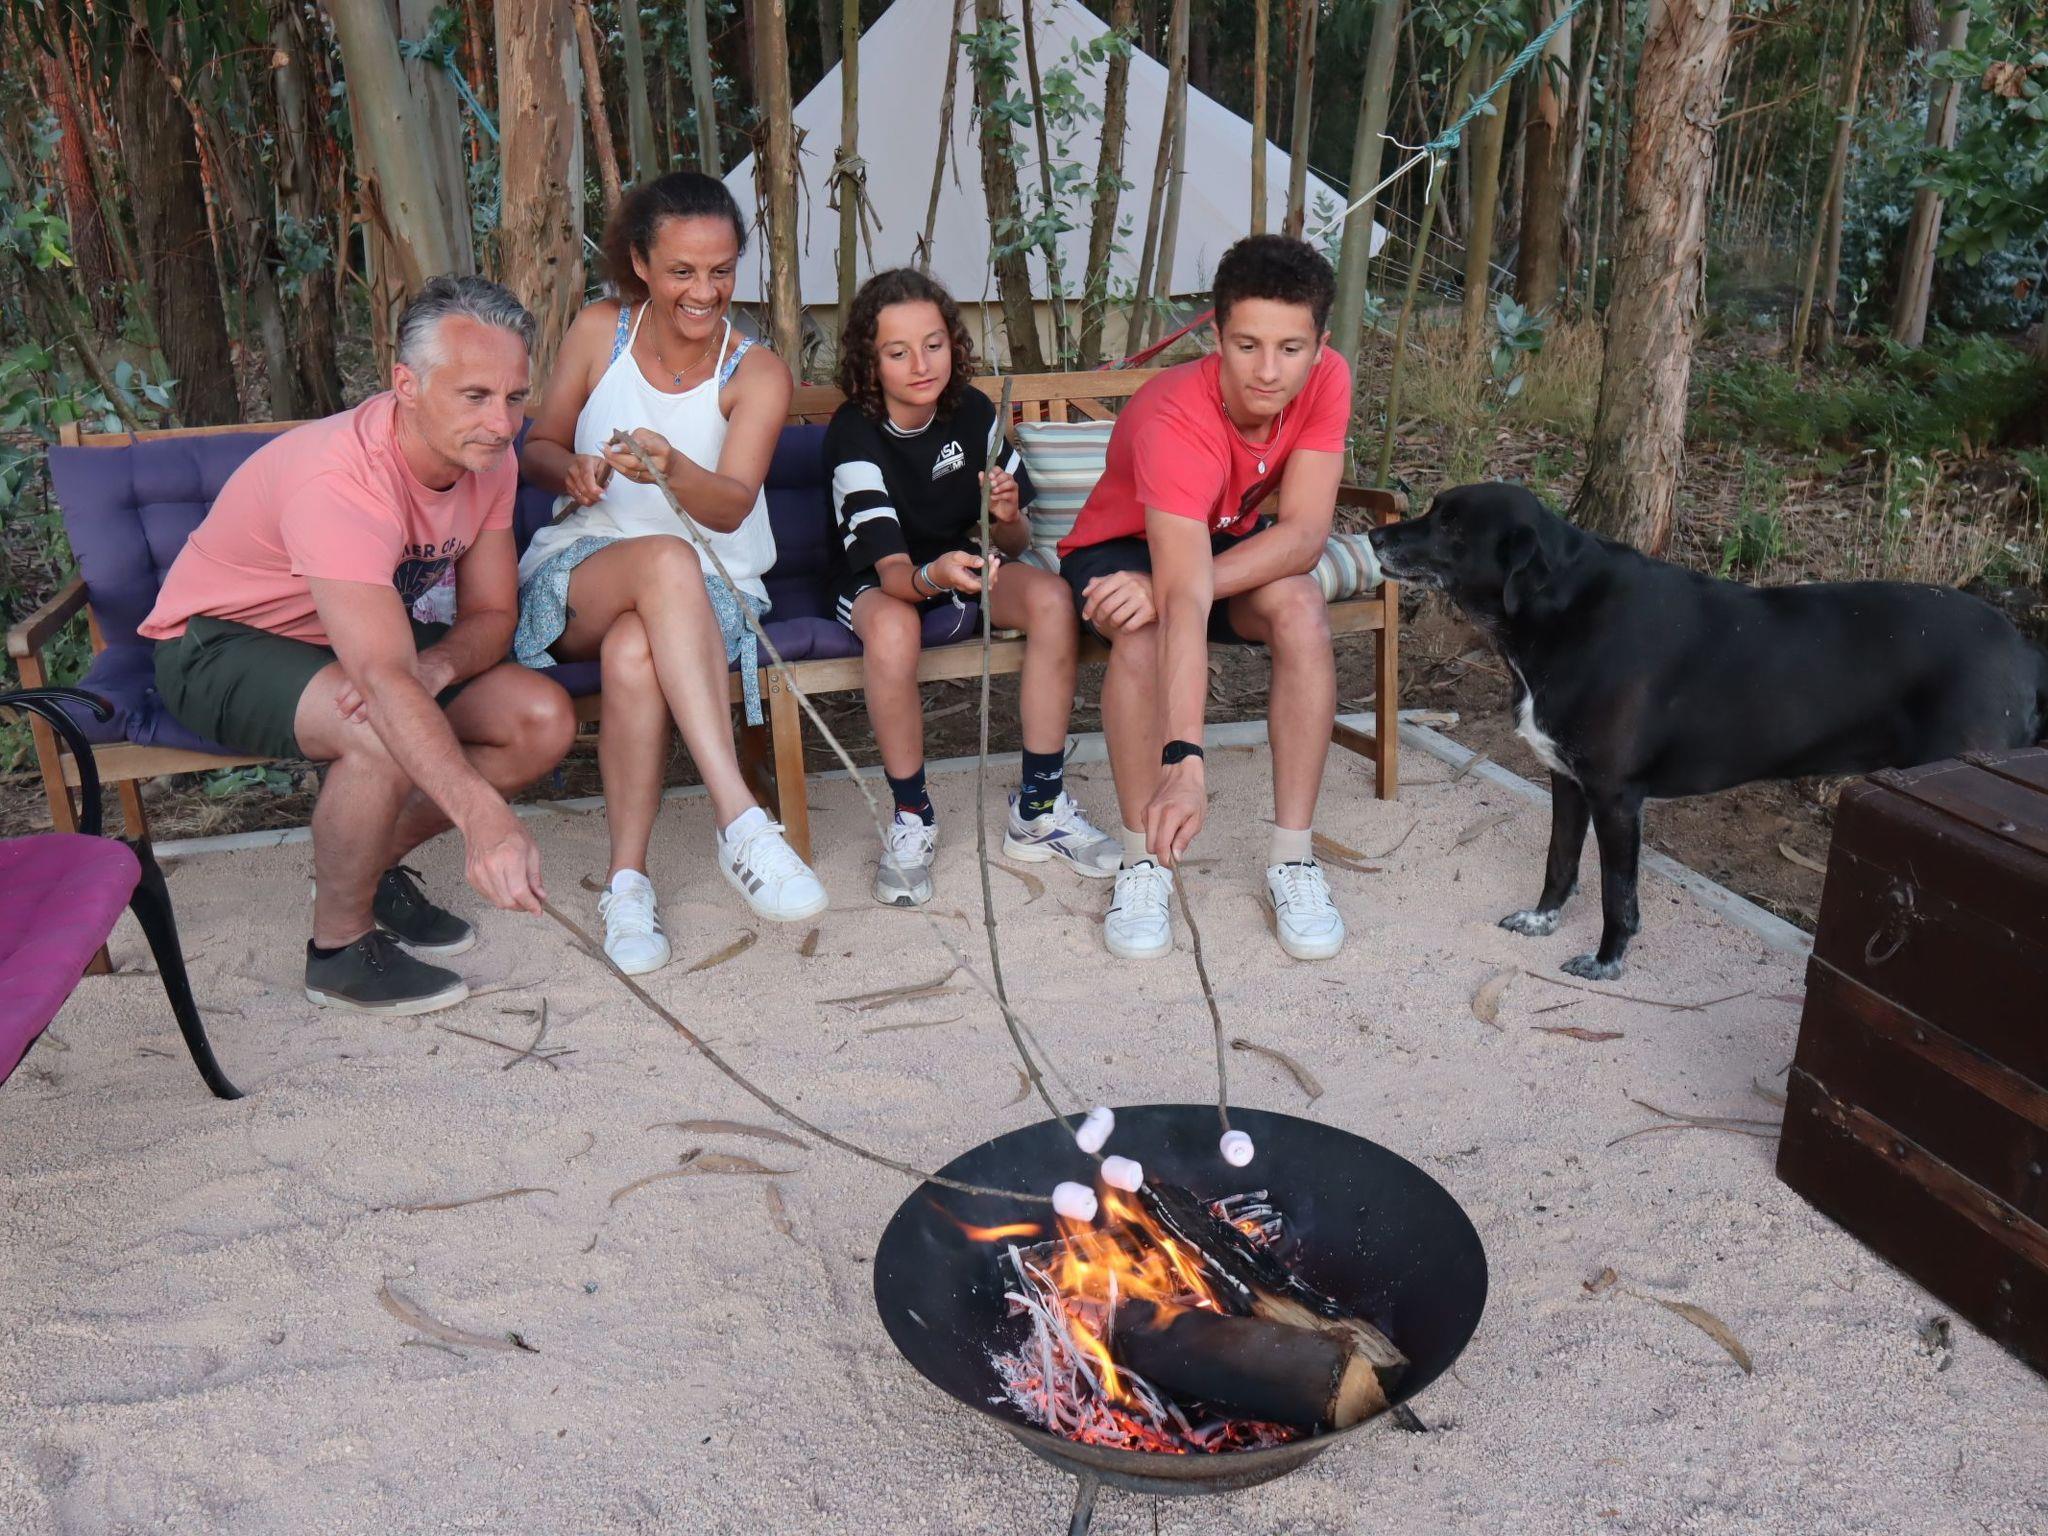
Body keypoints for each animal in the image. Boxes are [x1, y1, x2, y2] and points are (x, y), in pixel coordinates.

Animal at [1368, 482, 2048, 979]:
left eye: (1452, 527)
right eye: (1433, 509)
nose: (1374, 533)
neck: (1562, 611)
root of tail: (2024, 650)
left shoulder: (1616, 796)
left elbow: (1618, 892)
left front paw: (1607, 962)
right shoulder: (1566, 779)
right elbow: (1559, 860)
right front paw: (1542, 922)